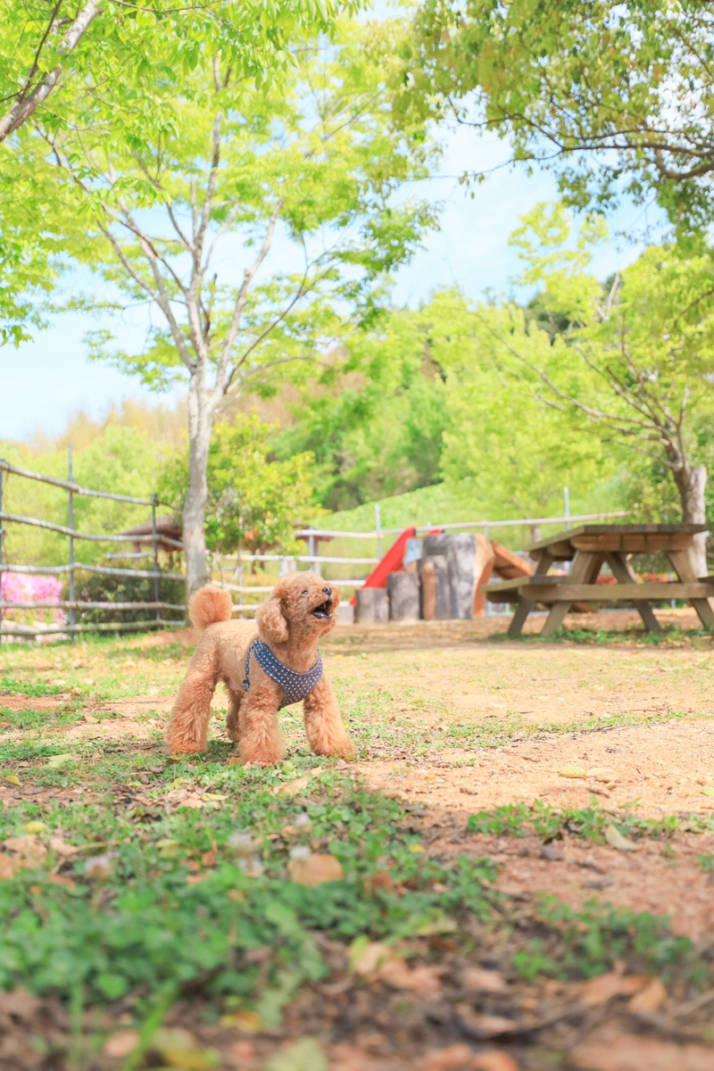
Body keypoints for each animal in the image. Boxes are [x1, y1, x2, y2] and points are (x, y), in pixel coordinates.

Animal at [168, 574, 357, 766]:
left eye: (322, 582)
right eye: (304, 592)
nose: (328, 589)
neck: (299, 651)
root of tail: (215, 622)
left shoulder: (320, 699)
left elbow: (326, 723)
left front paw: (337, 750)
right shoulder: (261, 701)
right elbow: (261, 731)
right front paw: (262, 759)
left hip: (240, 686)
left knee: (236, 713)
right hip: (202, 676)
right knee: (191, 709)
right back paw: (186, 747)